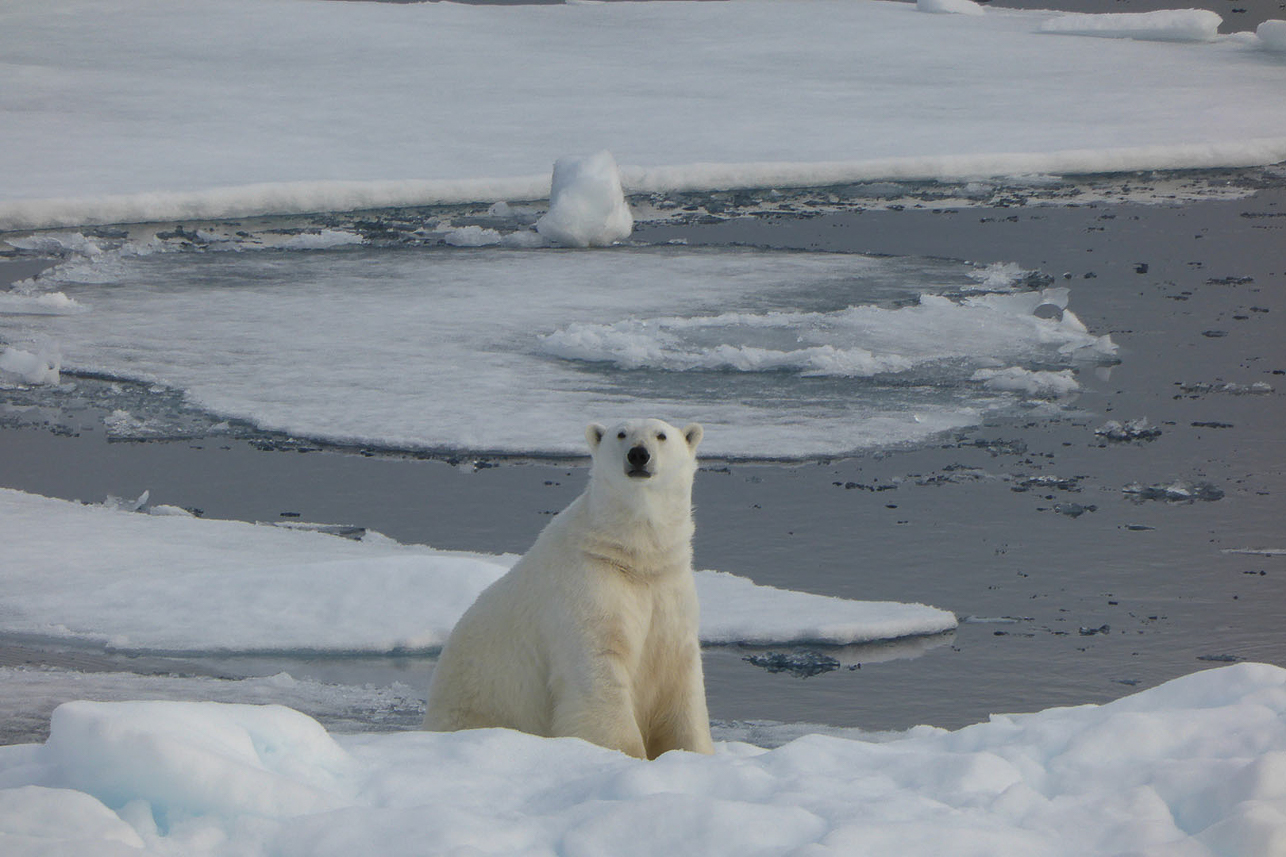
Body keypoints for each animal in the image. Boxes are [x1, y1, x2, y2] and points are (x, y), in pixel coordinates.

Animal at [426, 416, 720, 756]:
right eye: (621, 434)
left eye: (661, 435)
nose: (638, 455)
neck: (632, 555)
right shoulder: (587, 588)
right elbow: (599, 670)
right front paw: (624, 753)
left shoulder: (668, 590)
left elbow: (679, 679)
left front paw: (694, 751)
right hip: (476, 704)